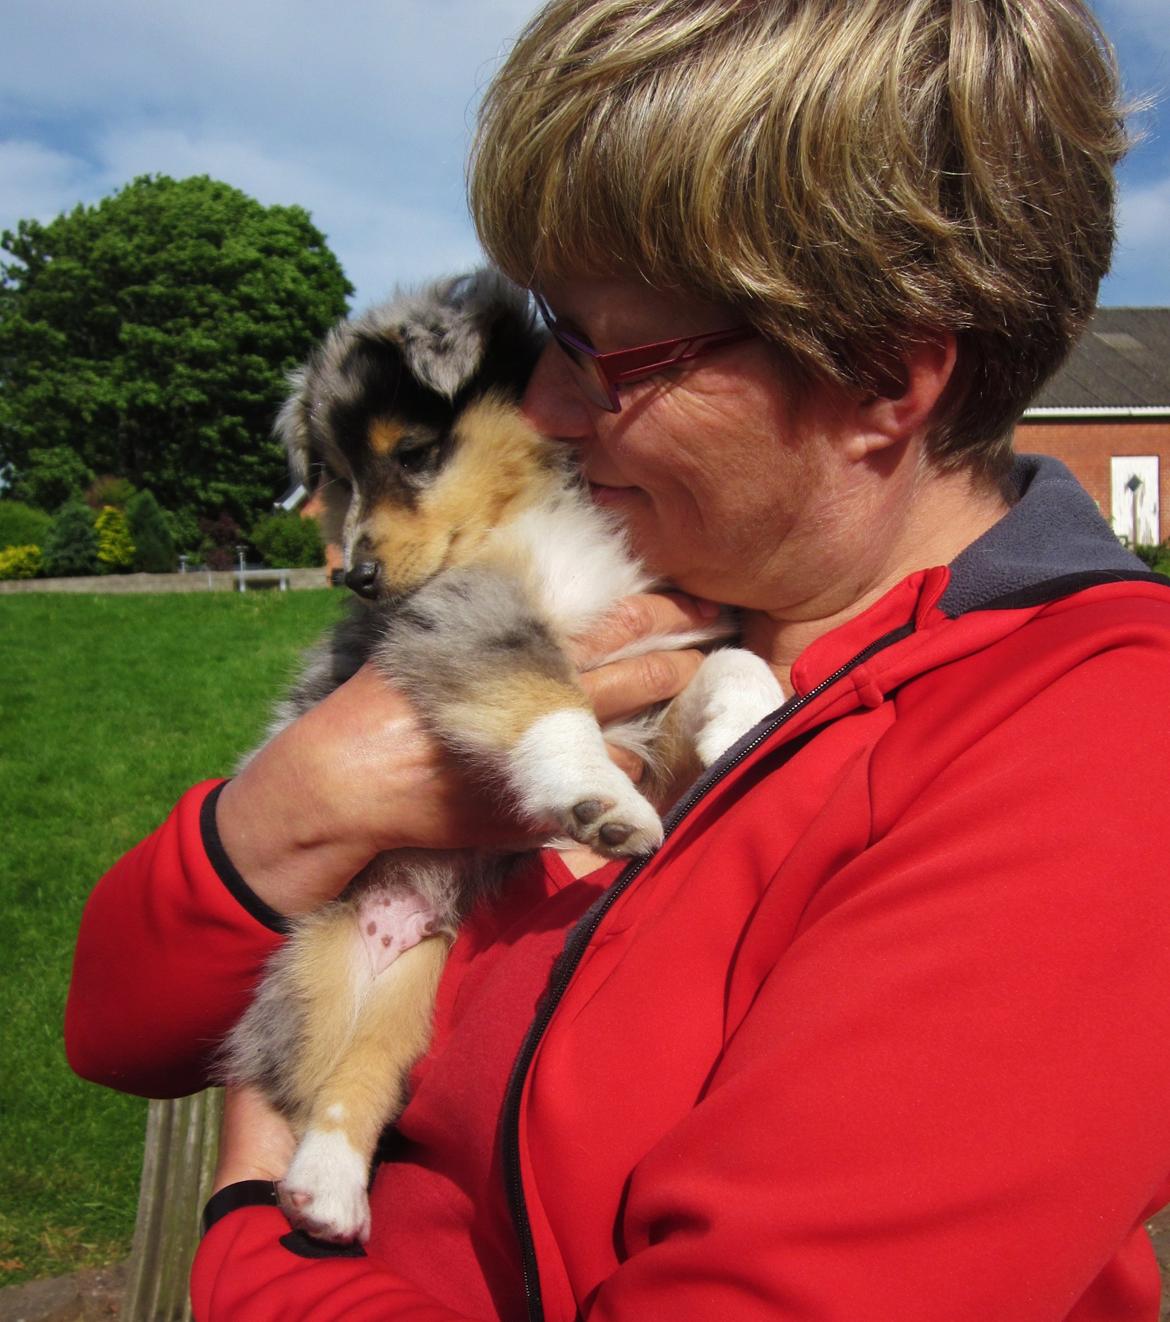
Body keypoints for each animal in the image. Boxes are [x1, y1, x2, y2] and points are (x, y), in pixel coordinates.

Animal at [220, 273, 782, 1242]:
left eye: (411, 452)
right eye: (339, 479)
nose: (354, 578)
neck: (529, 516)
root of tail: (397, 916)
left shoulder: (645, 684)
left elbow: (719, 667)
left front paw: (752, 709)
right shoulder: (464, 617)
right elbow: (543, 695)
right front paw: (599, 802)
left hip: (415, 979)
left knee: (363, 1074)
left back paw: (330, 1191)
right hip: (330, 963)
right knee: (308, 1087)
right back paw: (320, 1187)